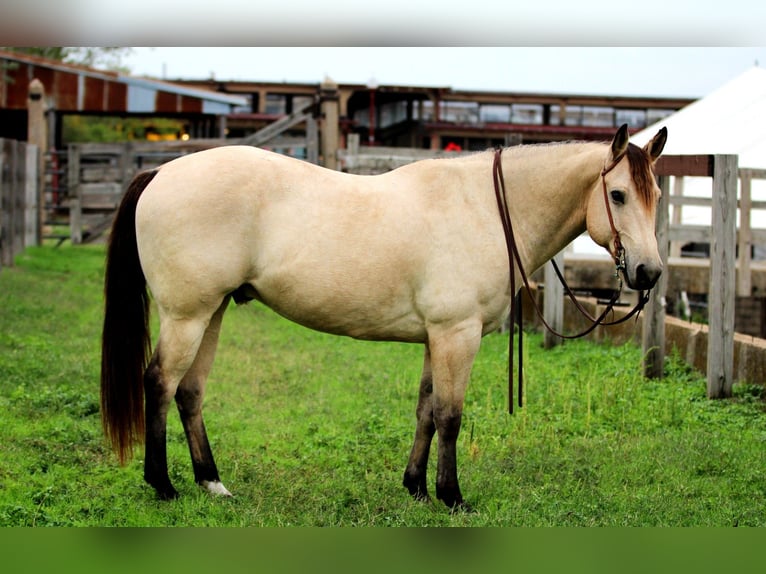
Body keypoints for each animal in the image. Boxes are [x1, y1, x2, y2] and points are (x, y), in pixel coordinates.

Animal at [100, 122, 664, 508]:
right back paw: (163, 484)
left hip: (211, 312)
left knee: (190, 392)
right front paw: (451, 496)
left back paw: (211, 482)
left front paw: (415, 487)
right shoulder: (457, 334)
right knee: (160, 383)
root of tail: (161, 172)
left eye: (656, 195)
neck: (483, 208)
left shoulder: (436, 337)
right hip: (187, 315)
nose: (649, 272)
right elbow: (450, 416)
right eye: (618, 194)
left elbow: (425, 411)